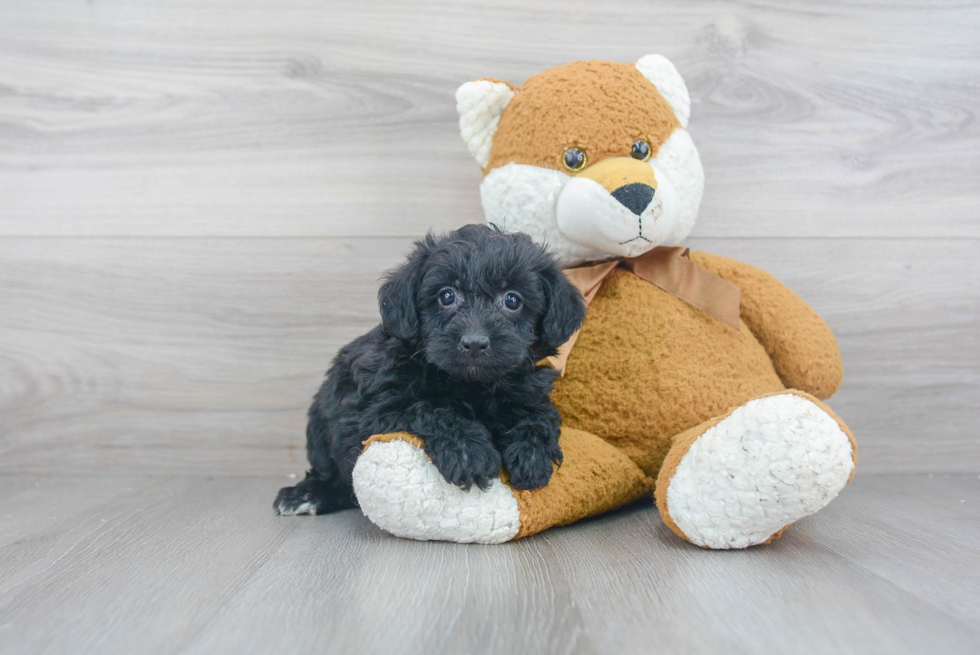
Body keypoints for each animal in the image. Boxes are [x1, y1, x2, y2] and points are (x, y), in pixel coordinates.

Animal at [272, 226, 584, 516]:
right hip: (321, 430)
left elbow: (538, 416)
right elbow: (429, 407)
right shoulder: (371, 407)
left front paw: (531, 454)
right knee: (332, 473)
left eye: (512, 300)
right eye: (447, 296)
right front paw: (469, 452)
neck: (471, 385)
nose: (474, 342)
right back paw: (306, 494)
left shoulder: (529, 390)